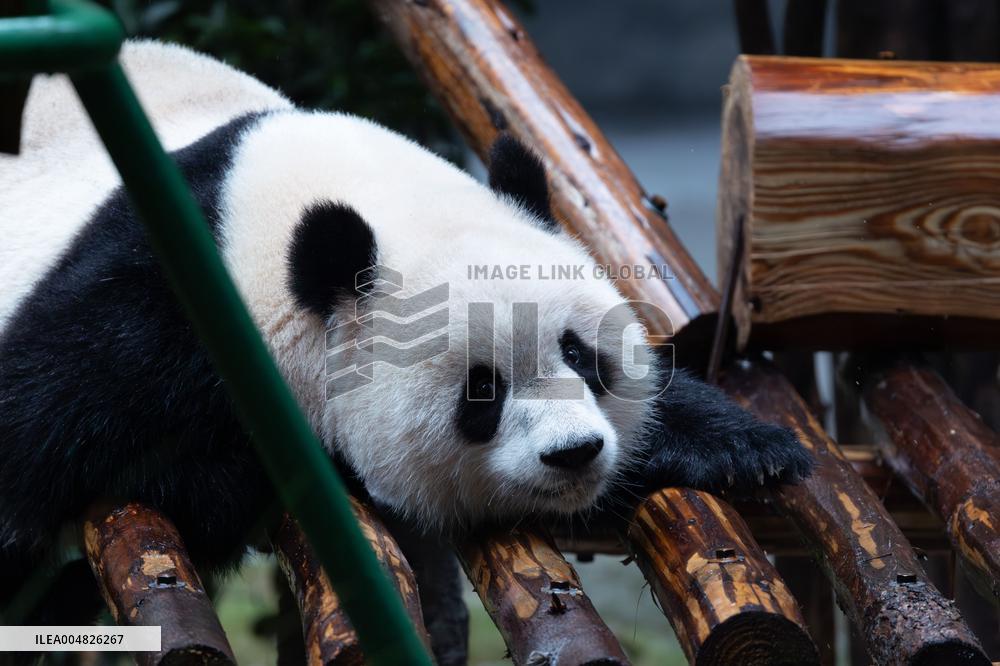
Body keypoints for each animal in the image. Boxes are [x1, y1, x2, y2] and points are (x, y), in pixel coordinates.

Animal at [0, 41, 810, 634]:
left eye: (581, 354)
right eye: (481, 391)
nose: (576, 453)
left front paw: (746, 447)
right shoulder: (149, 311)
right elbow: (45, 441)